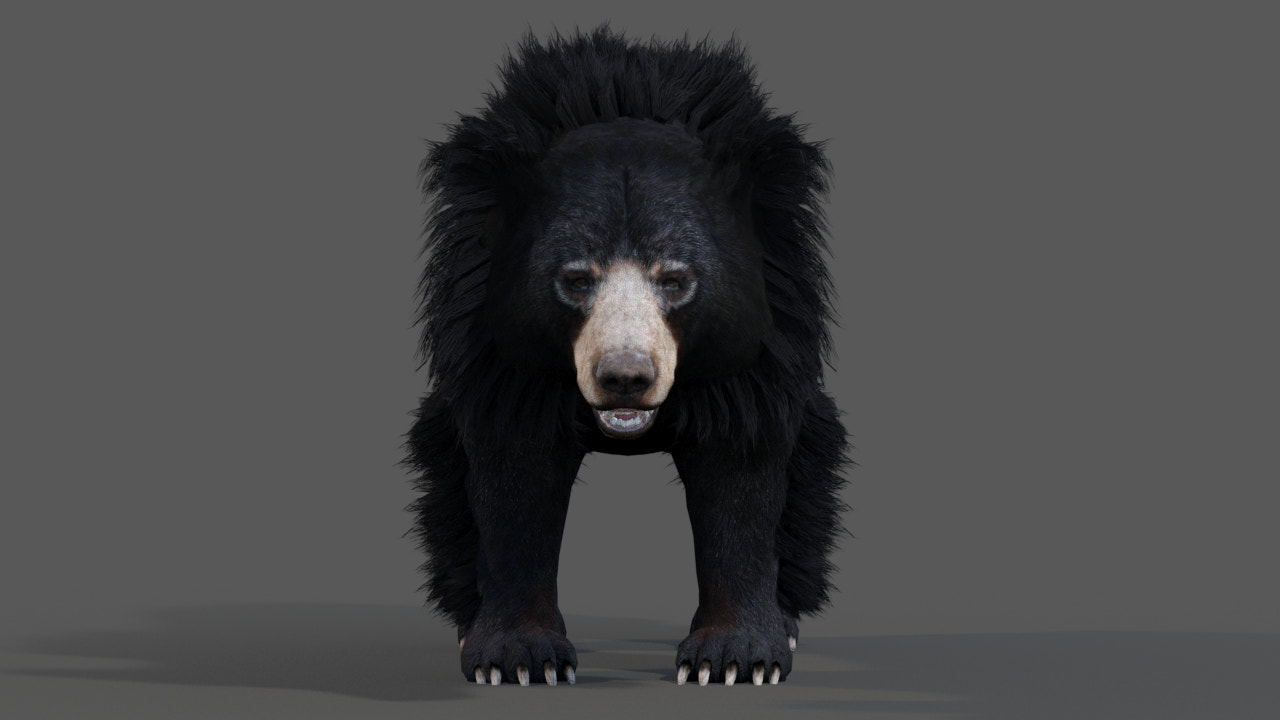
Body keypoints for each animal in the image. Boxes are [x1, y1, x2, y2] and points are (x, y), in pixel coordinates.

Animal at [406, 27, 849, 687]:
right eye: (575, 278)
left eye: (676, 279)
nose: (624, 379)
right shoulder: (499, 355)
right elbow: (513, 475)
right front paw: (519, 661)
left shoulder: (756, 350)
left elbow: (742, 472)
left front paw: (735, 660)